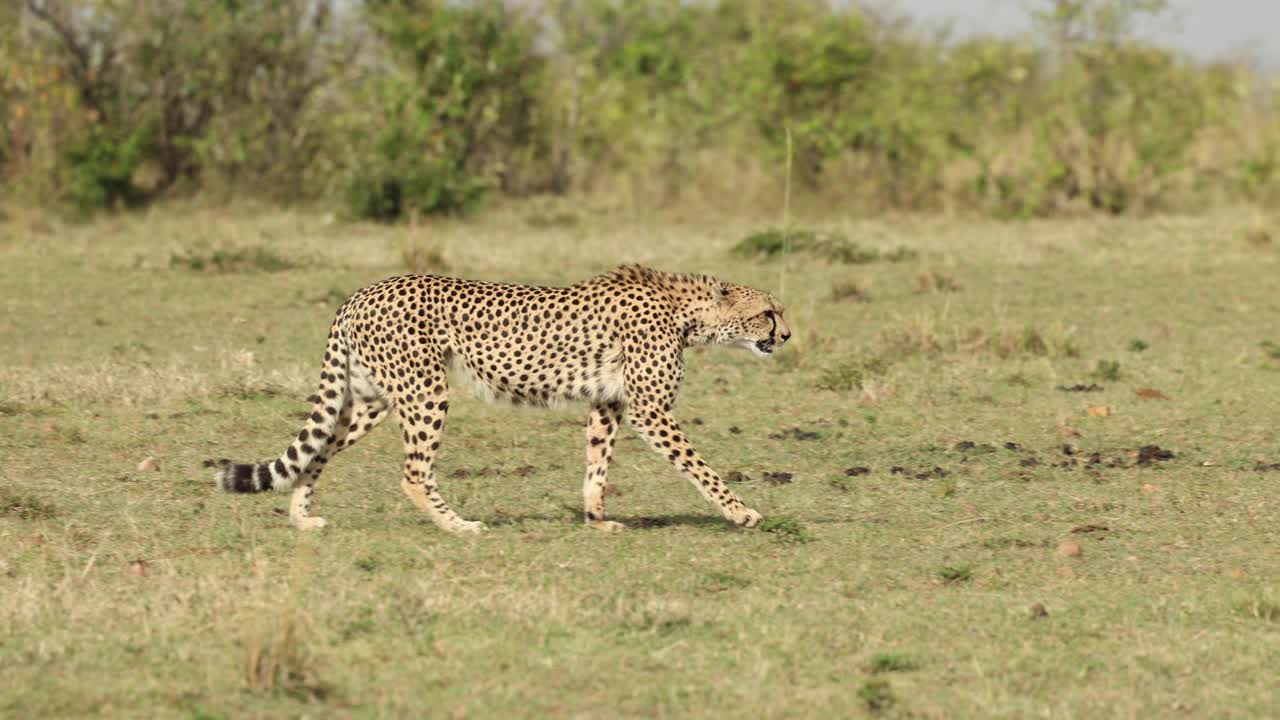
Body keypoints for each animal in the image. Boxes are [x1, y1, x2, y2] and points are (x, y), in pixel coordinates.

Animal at [208, 263, 791, 533]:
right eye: (768, 312)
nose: (785, 336)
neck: (687, 311)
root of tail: (361, 292)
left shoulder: (608, 405)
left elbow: (596, 467)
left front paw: (597, 517)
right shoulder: (650, 410)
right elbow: (701, 468)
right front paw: (742, 512)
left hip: (372, 398)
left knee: (319, 448)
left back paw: (301, 517)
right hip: (426, 391)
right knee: (413, 472)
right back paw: (458, 525)